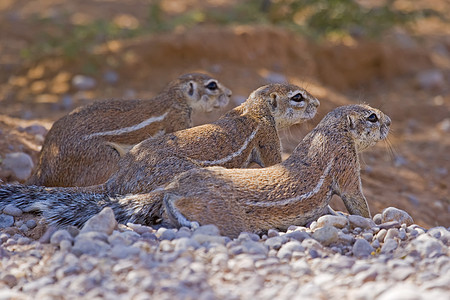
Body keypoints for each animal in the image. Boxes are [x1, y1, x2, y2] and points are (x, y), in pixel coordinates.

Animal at [27, 72, 232, 188]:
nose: (230, 94)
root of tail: (42, 170)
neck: (173, 99)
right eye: (212, 85)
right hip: (105, 158)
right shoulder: (178, 122)